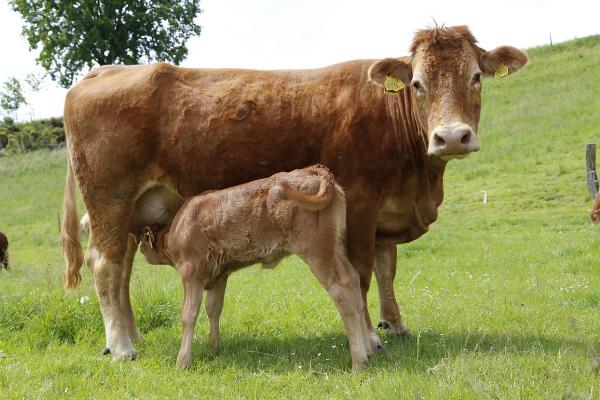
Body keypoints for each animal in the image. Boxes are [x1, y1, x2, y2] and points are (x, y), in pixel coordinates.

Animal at [139, 164, 372, 370]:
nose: (140, 248)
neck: (178, 228)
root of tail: (313, 170)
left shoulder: (191, 271)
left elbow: (189, 314)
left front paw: (182, 362)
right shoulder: (219, 274)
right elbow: (213, 308)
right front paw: (213, 347)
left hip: (317, 251)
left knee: (342, 291)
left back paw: (358, 362)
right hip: (336, 248)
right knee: (354, 281)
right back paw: (369, 352)